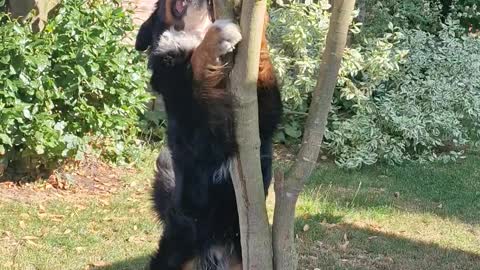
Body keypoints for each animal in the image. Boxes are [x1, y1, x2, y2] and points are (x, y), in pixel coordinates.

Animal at [133, 0, 284, 268]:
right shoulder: (201, 136)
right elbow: (197, 63)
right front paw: (217, 36)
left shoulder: (262, 119)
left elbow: (260, 64)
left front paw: (257, 20)